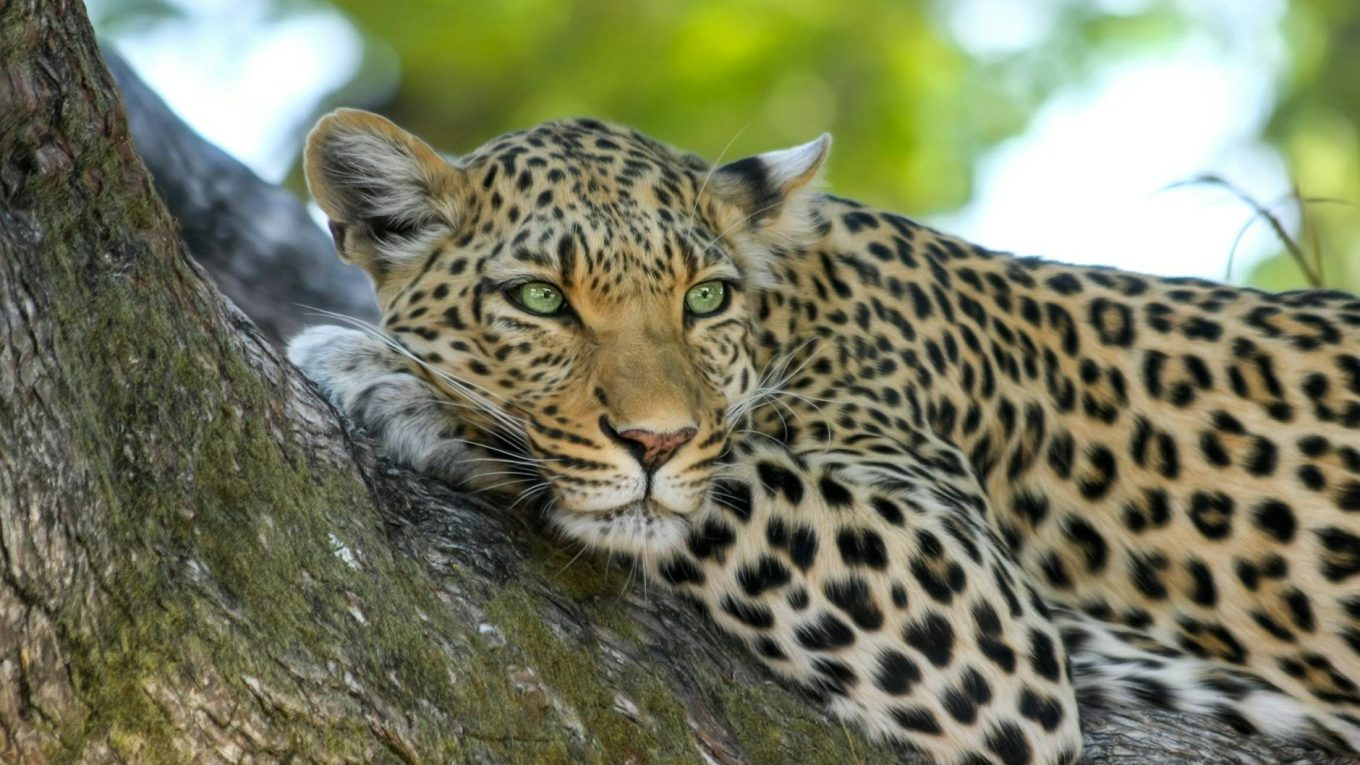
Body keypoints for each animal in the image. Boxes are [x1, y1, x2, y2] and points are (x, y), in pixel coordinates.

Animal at [284, 108, 1360, 762]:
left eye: (704, 298)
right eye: (541, 299)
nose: (655, 442)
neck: (793, 309)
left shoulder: (979, 611)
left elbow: (739, 475)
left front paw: (396, 378)